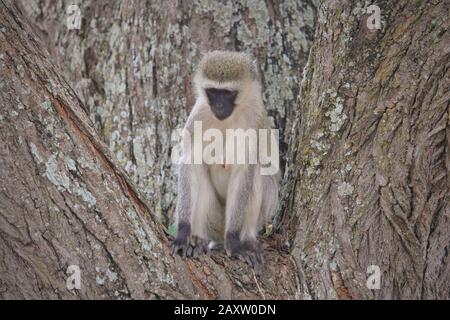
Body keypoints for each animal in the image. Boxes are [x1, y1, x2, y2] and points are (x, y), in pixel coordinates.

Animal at [171, 50, 280, 276]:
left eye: (228, 93)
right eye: (213, 92)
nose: (219, 106)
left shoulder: (255, 119)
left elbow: (245, 170)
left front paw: (234, 243)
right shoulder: (199, 114)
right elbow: (189, 161)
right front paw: (183, 233)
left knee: (258, 172)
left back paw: (246, 240)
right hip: (213, 219)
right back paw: (197, 240)